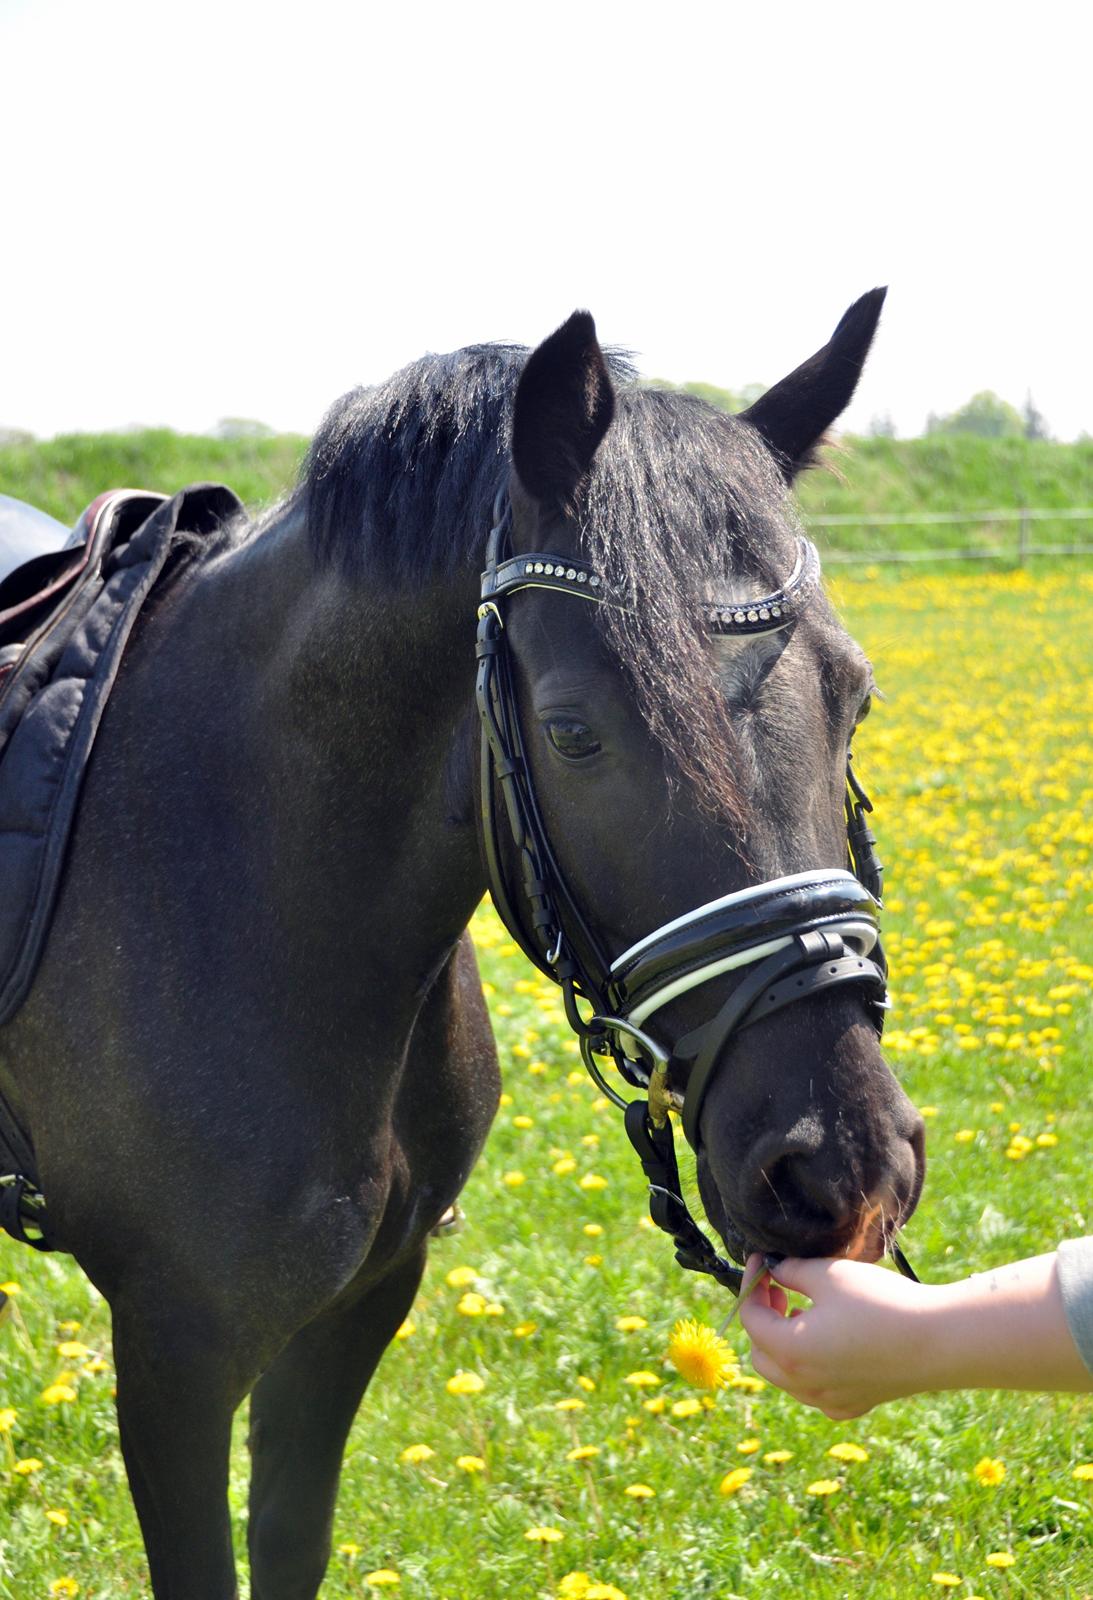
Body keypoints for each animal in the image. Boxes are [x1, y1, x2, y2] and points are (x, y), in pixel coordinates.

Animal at [0, 294, 921, 1593]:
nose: (838, 1166)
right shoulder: (174, 1343)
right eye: (574, 731)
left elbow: (289, 1537)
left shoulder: (360, 1302)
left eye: (855, 694)